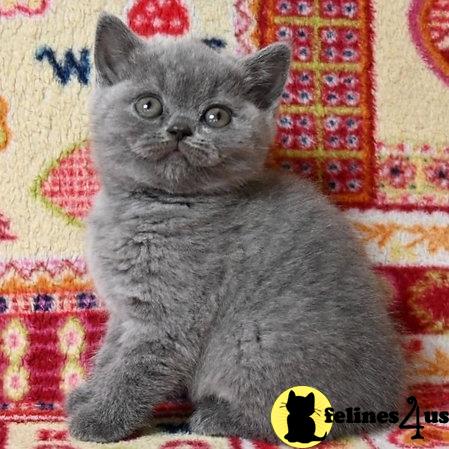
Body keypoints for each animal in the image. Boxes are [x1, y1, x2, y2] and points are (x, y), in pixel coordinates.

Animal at [65, 13, 402, 440]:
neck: (155, 205)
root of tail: (384, 397)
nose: (180, 128)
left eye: (216, 116)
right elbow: (110, 355)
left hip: (256, 340)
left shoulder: (170, 316)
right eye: (149, 105)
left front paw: (98, 419)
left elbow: (133, 371)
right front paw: (88, 395)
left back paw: (215, 417)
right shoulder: (126, 310)